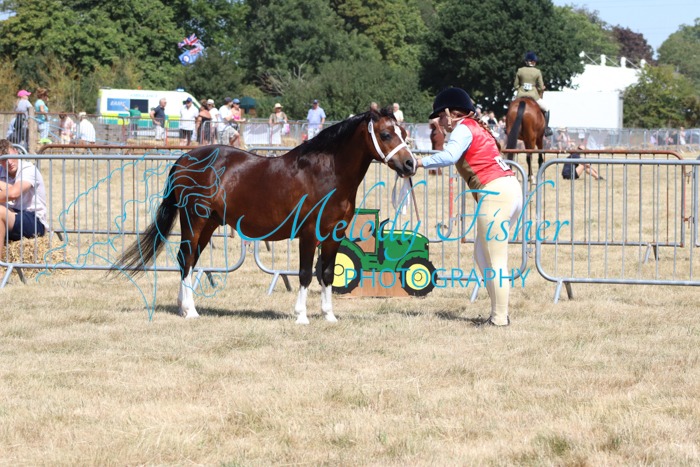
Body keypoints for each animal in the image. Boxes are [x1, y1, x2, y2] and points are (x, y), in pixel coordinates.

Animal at [112, 107, 416, 324]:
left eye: (403, 132)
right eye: (386, 134)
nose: (410, 164)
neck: (327, 173)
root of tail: (184, 159)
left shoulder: (334, 234)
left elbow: (328, 273)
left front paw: (329, 315)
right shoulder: (309, 233)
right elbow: (305, 273)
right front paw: (301, 316)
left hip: (209, 224)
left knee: (187, 259)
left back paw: (183, 308)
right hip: (193, 220)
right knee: (186, 259)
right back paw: (191, 310)